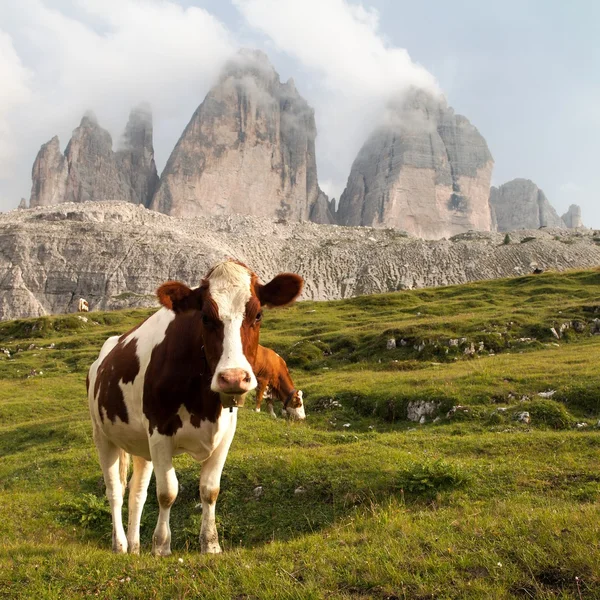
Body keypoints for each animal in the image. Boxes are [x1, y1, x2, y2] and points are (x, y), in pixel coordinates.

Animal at [86, 260, 302, 556]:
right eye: (205, 317)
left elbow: (209, 489)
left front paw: (210, 544)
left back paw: (135, 547)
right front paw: (161, 546)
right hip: (103, 435)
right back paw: (120, 545)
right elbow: (167, 492)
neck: (204, 405)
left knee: (136, 494)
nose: (233, 377)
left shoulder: (226, 433)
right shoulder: (159, 431)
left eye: (258, 315)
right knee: (115, 491)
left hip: (141, 447)